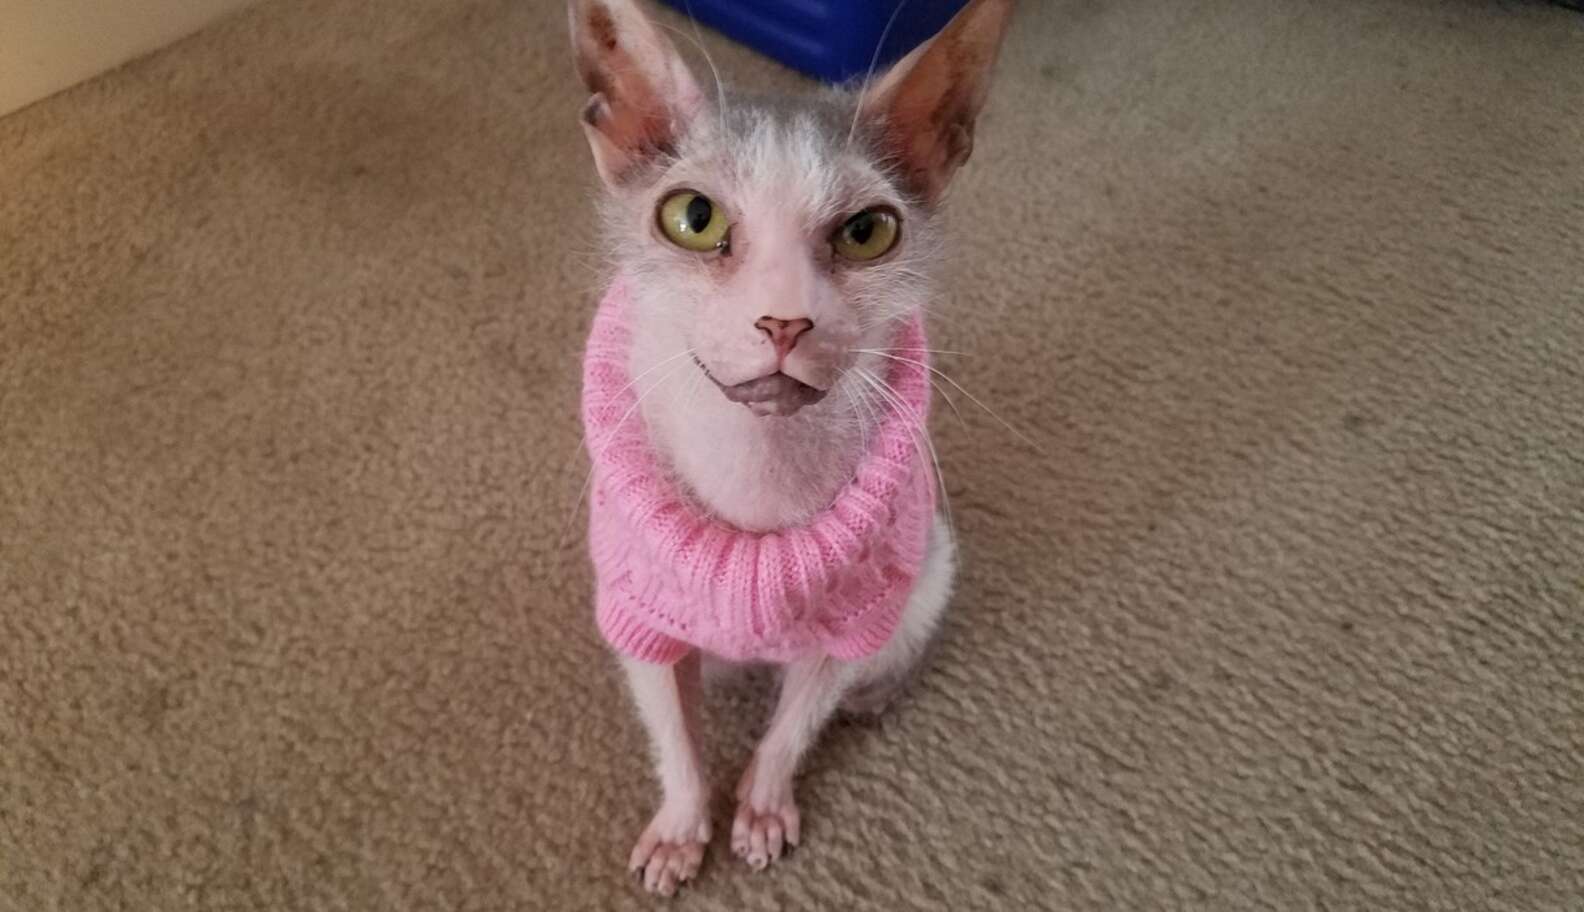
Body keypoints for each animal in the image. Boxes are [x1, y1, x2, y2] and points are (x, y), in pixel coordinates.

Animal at [568, 0, 1013, 894]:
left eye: (868, 232)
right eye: (693, 218)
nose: (784, 320)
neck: (755, 468)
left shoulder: (853, 618)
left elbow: (793, 725)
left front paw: (763, 803)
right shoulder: (637, 615)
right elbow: (674, 733)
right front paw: (683, 825)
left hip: (928, 562)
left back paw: (873, 697)